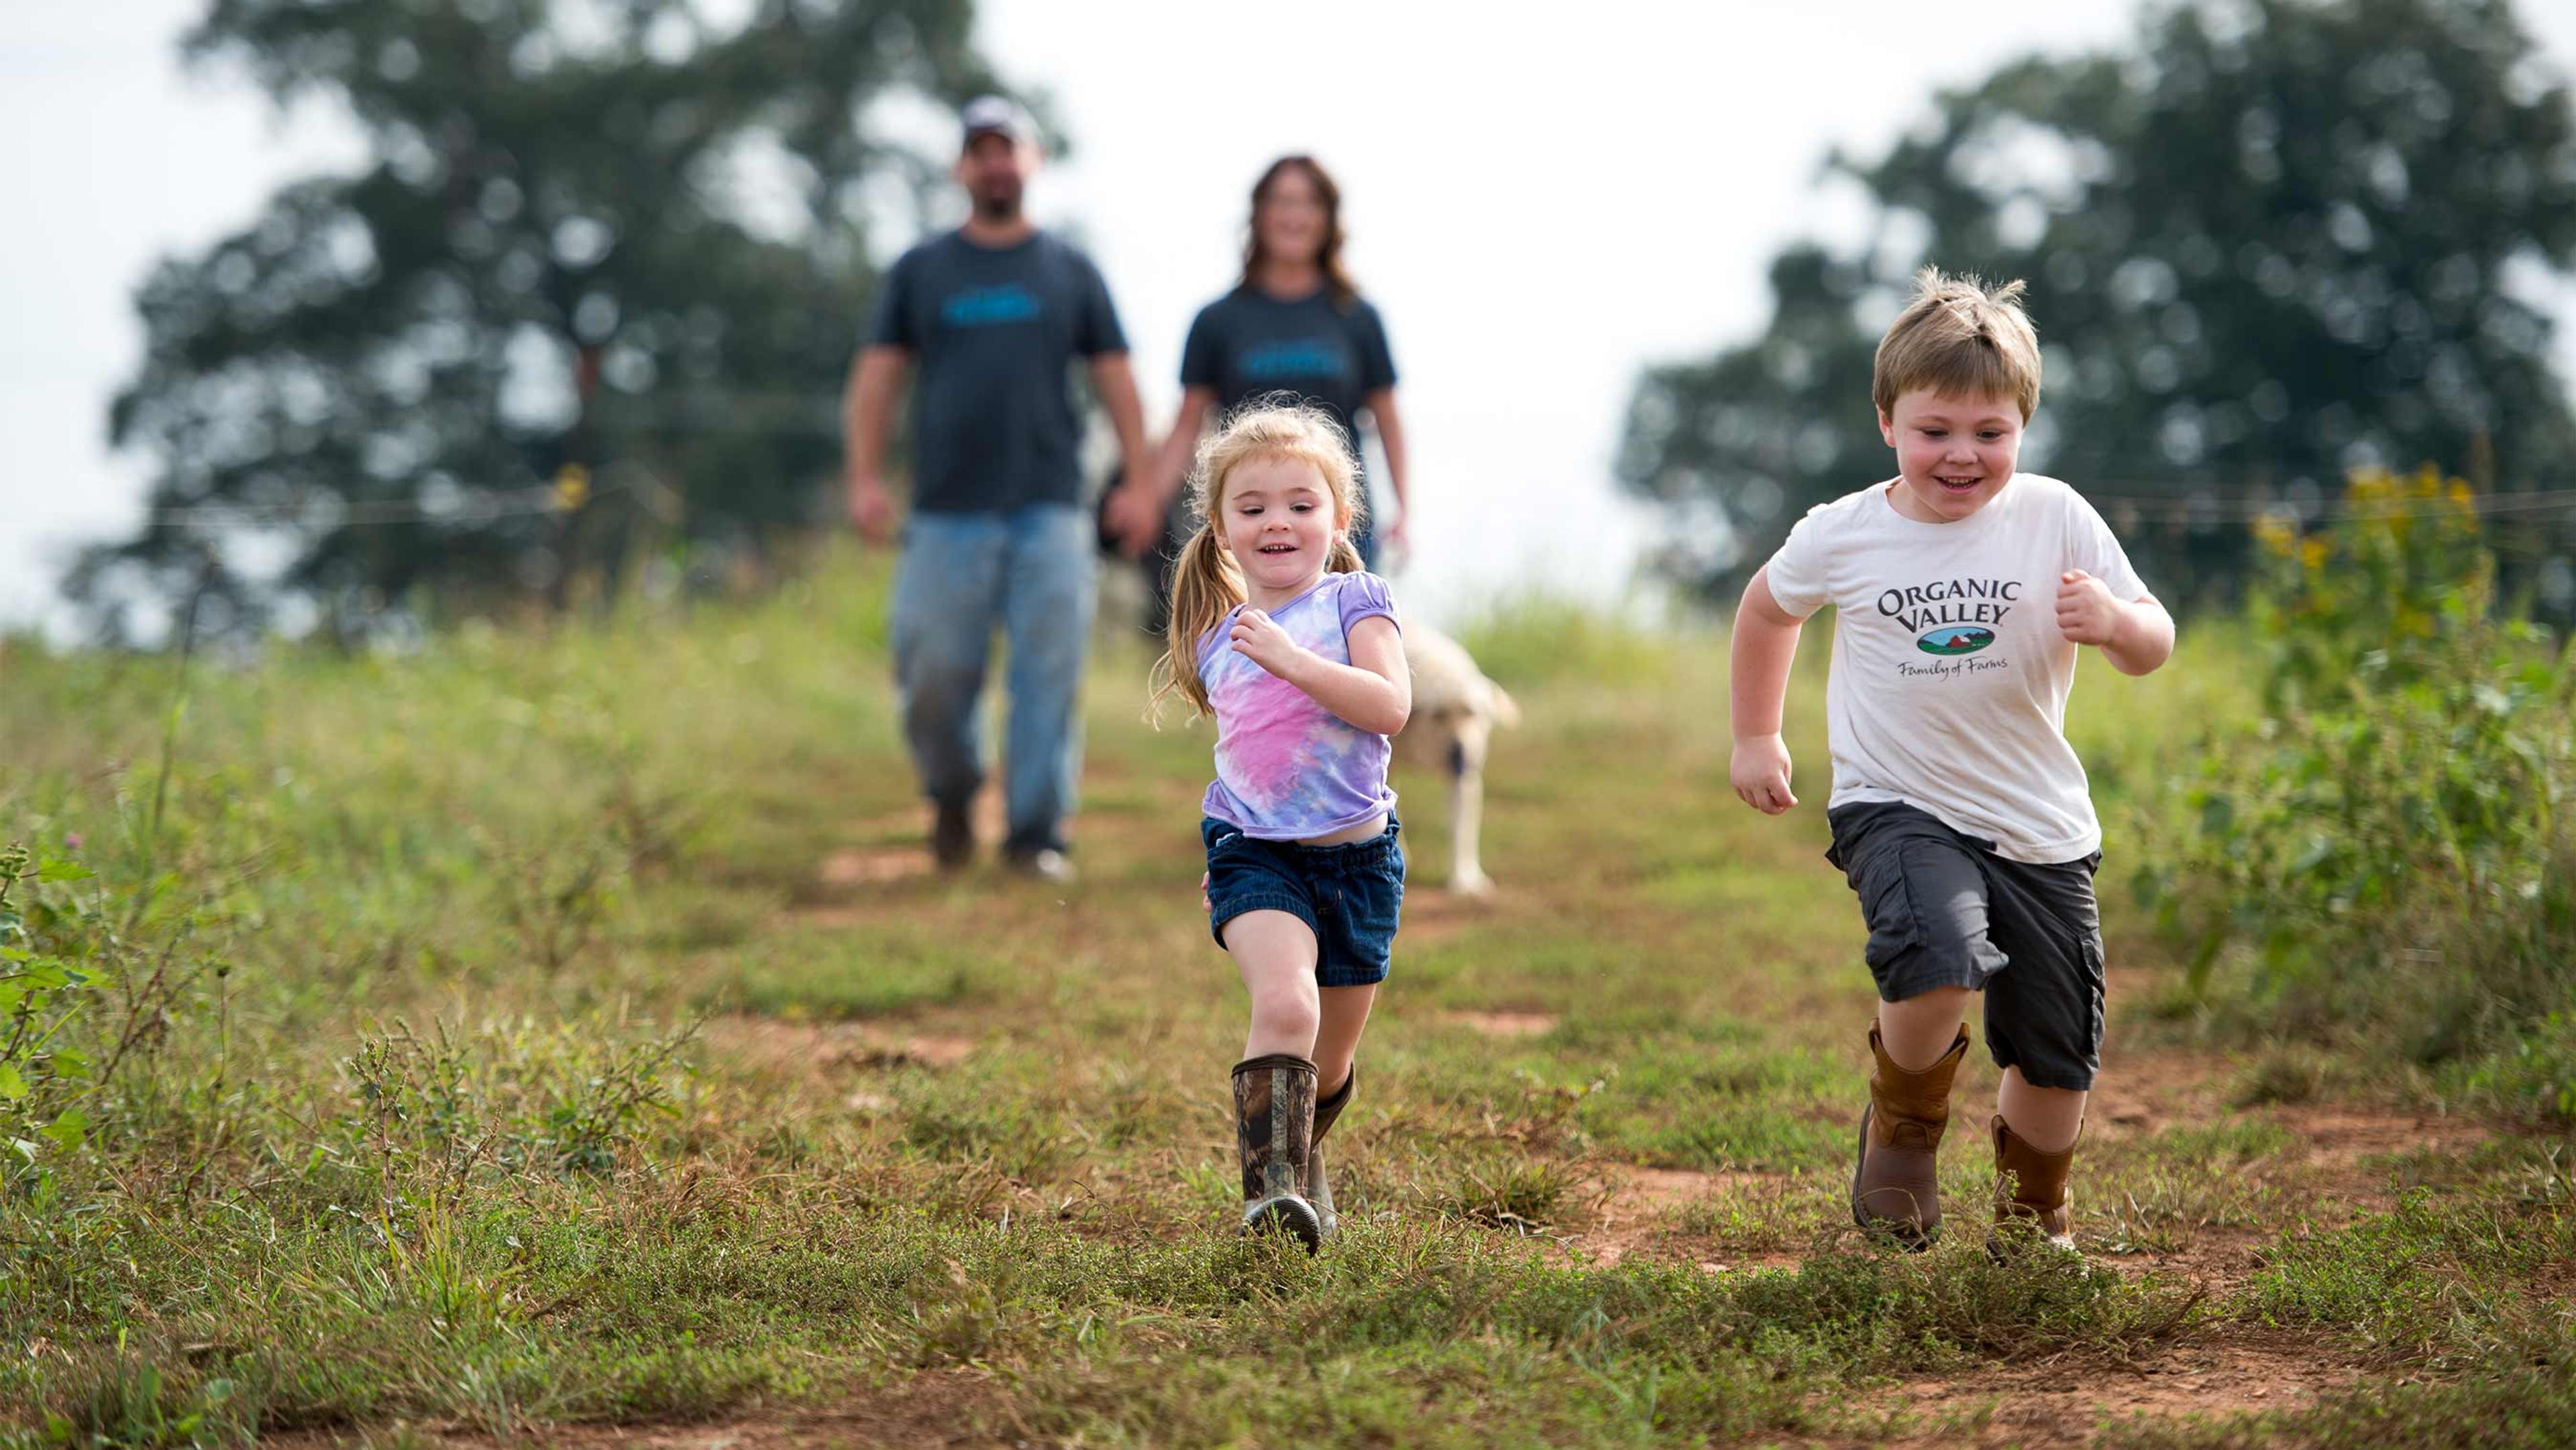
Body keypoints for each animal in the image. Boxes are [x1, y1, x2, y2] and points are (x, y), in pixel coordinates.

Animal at [1401, 626, 1514, 896]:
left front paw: (1465, 881)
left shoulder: (1464, 780)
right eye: (1438, 715)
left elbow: (1463, 830)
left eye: (1472, 713)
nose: (1460, 753)